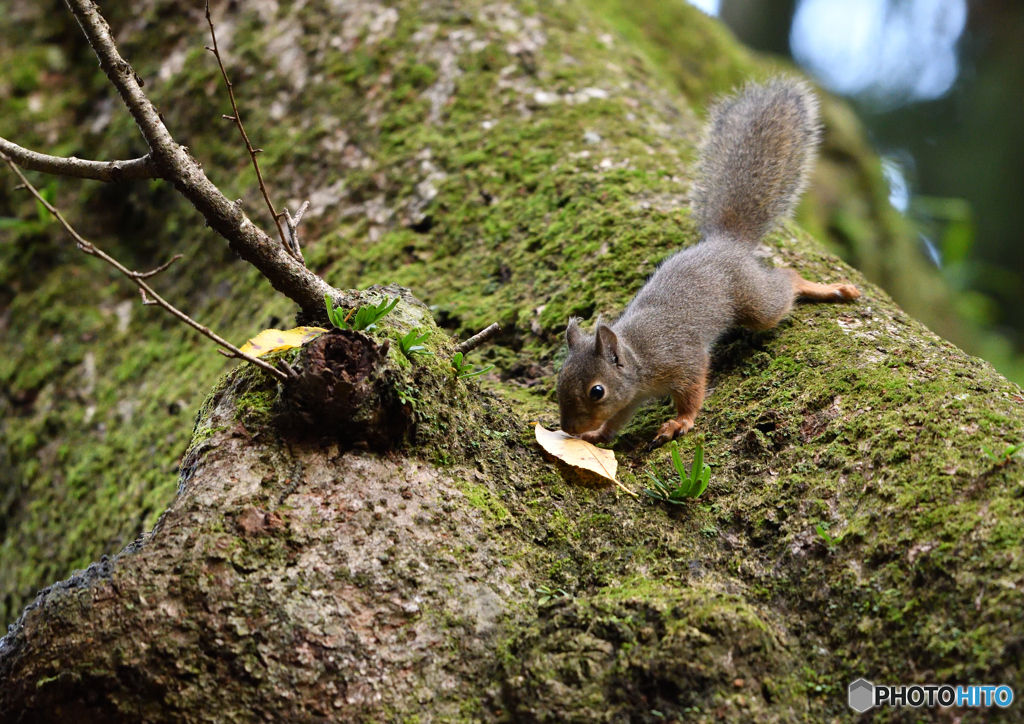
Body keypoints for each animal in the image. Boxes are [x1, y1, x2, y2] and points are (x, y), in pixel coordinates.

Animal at [557, 76, 860, 444]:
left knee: (785, 281)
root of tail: (726, 242)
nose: (568, 429)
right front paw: (597, 436)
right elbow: (618, 420)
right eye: (560, 379)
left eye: (596, 391)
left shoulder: (683, 360)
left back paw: (829, 288)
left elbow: (692, 391)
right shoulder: (631, 397)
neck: (638, 358)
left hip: (755, 300)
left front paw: (680, 422)